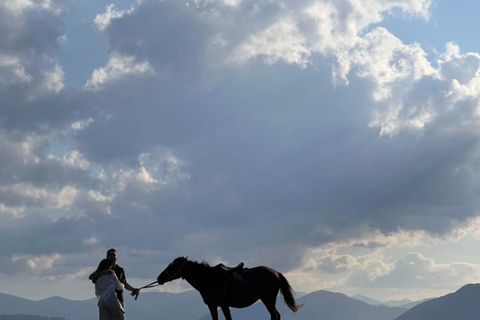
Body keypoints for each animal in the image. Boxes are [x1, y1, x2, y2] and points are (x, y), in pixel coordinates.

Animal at [158, 258, 302, 320]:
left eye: (172, 266)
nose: (159, 278)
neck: (209, 279)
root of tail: (276, 273)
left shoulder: (223, 305)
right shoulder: (212, 306)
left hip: (268, 299)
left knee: (274, 315)